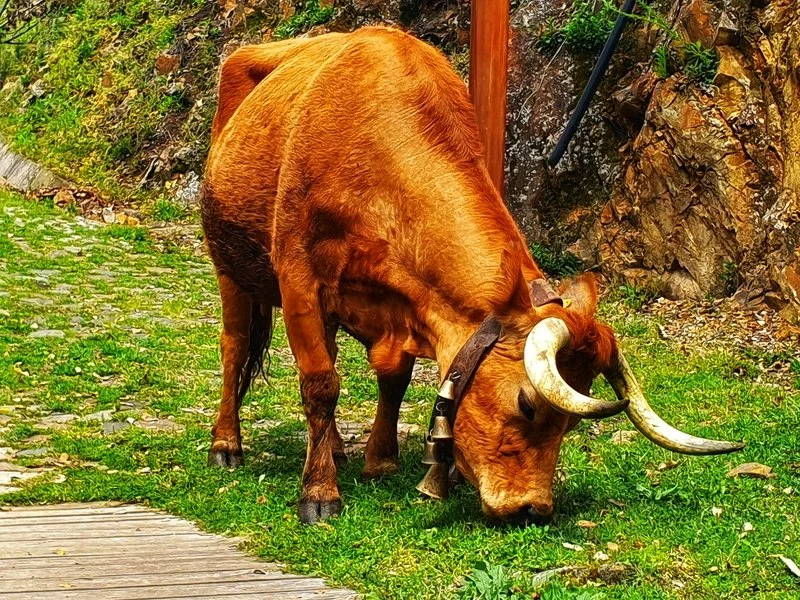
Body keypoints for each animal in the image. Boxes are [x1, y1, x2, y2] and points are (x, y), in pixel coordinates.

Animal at [201, 27, 742, 525]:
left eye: (569, 427)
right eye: (527, 404)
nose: (532, 509)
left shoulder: (398, 307)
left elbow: (391, 379)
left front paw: (381, 460)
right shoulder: (300, 279)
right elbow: (320, 384)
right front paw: (318, 493)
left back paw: (332, 445)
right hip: (228, 265)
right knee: (235, 346)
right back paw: (226, 444)